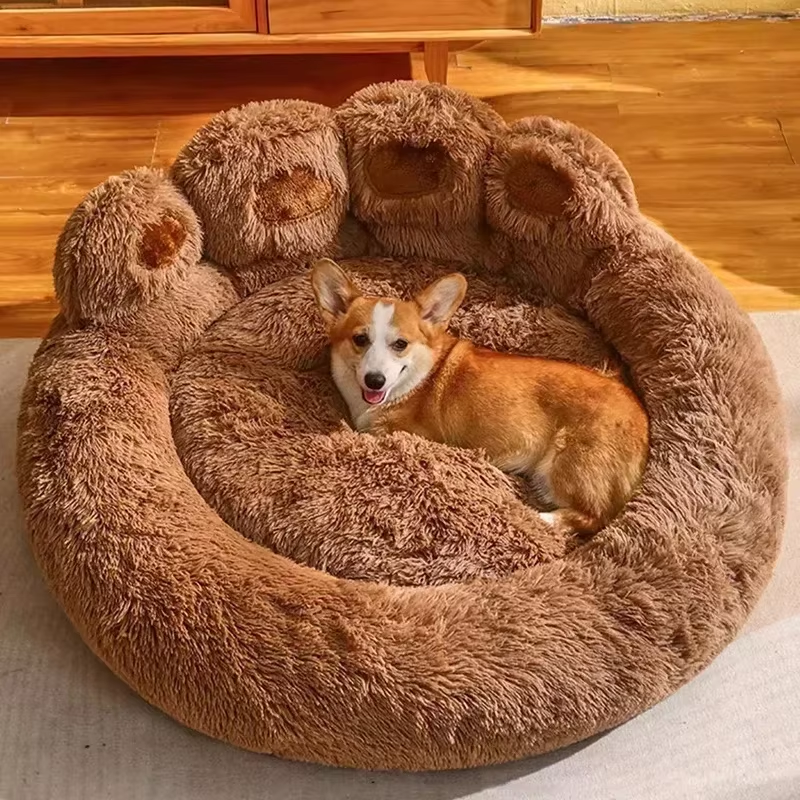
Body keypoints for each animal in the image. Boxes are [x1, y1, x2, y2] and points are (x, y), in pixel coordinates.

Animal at [310, 260, 648, 536]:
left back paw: (541, 518)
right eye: (360, 339)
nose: (374, 380)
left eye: (401, 344)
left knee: (593, 518)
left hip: (565, 466)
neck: (416, 379)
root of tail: (643, 420)